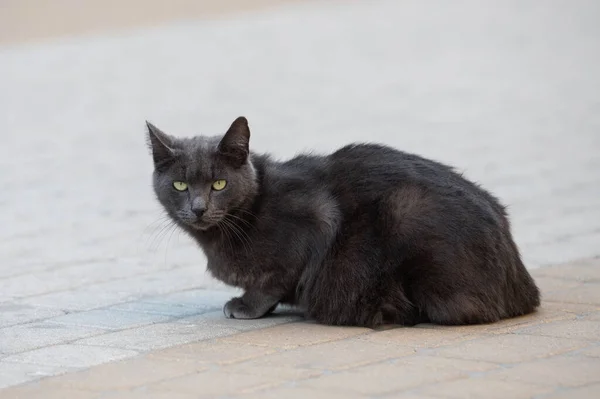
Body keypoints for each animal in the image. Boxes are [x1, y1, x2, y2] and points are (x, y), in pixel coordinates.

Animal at [148, 116, 540, 328]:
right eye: (180, 185)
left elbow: (275, 280)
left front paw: (246, 306)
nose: (198, 208)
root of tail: (522, 286)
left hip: (407, 210)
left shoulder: (317, 220)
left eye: (219, 184)